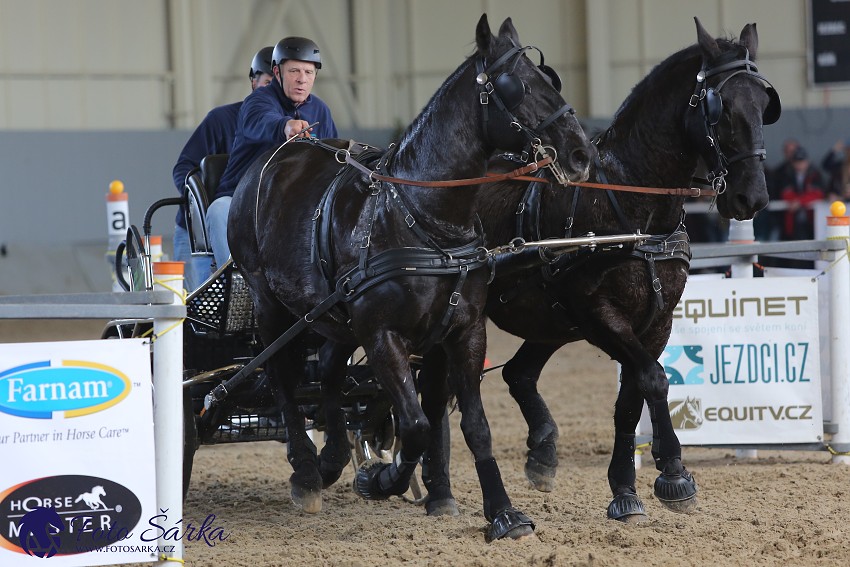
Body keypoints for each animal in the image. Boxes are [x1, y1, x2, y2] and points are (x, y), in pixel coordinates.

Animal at [229, 14, 592, 540]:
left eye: (551, 80)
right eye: (515, 85)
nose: (582, 154)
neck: (422, 216)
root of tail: (273, 158)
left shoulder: (465, 332)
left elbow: (475, 428)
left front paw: (503, 513)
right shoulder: (383, 336)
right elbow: (417, 425)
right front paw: (381, 480)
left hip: (331, 314)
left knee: (331, 373)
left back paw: (331, 459)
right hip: (269, 302)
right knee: (282, 378)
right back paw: (306, 472)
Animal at [474, 18, 780, 524]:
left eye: (764, 102)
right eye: (719, 107)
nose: (751, 198)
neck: (634, 210)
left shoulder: (655, 321)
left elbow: (631, 398)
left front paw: (624, 489)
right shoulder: (599, 313)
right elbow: (653, 378)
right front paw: (674, 471)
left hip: (551, 320)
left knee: (518, 374)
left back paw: (543, 452)